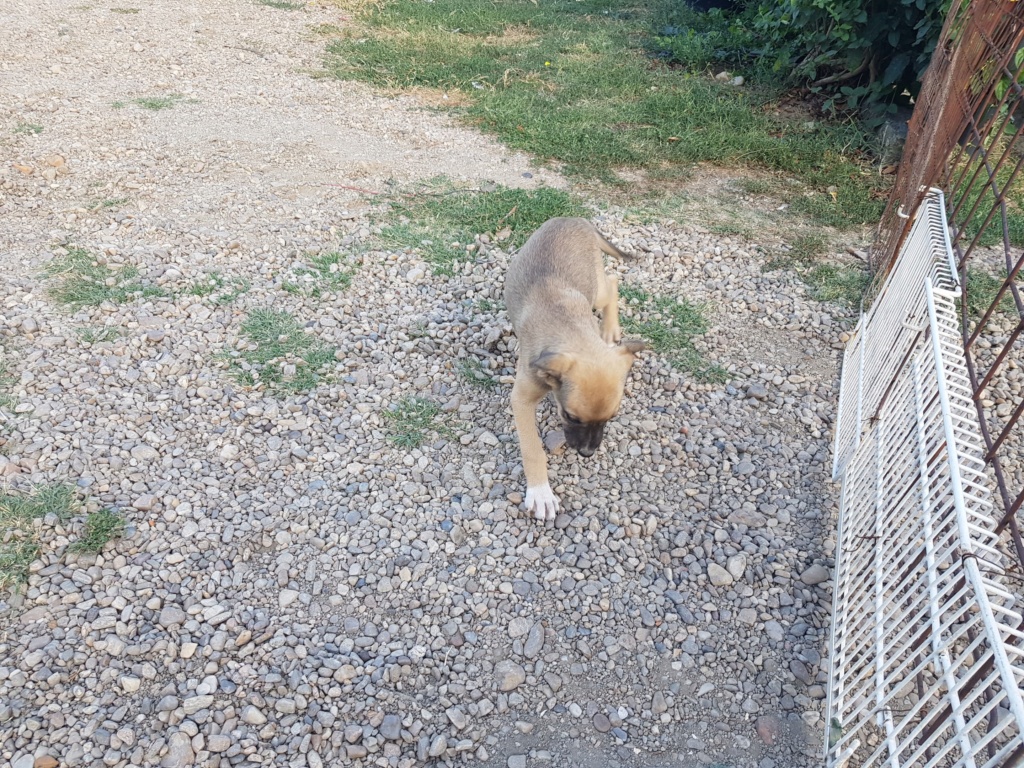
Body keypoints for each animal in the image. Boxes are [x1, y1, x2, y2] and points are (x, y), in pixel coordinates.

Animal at [501, 217, 643, 524]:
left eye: (612, 417)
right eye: (570, 416)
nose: (587, 454)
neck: (567, 327)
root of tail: (574, 218)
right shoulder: (521, 399)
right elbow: (532, 449)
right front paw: (541, 493)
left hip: (595, 288)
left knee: (611, 282)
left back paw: (610, 329)